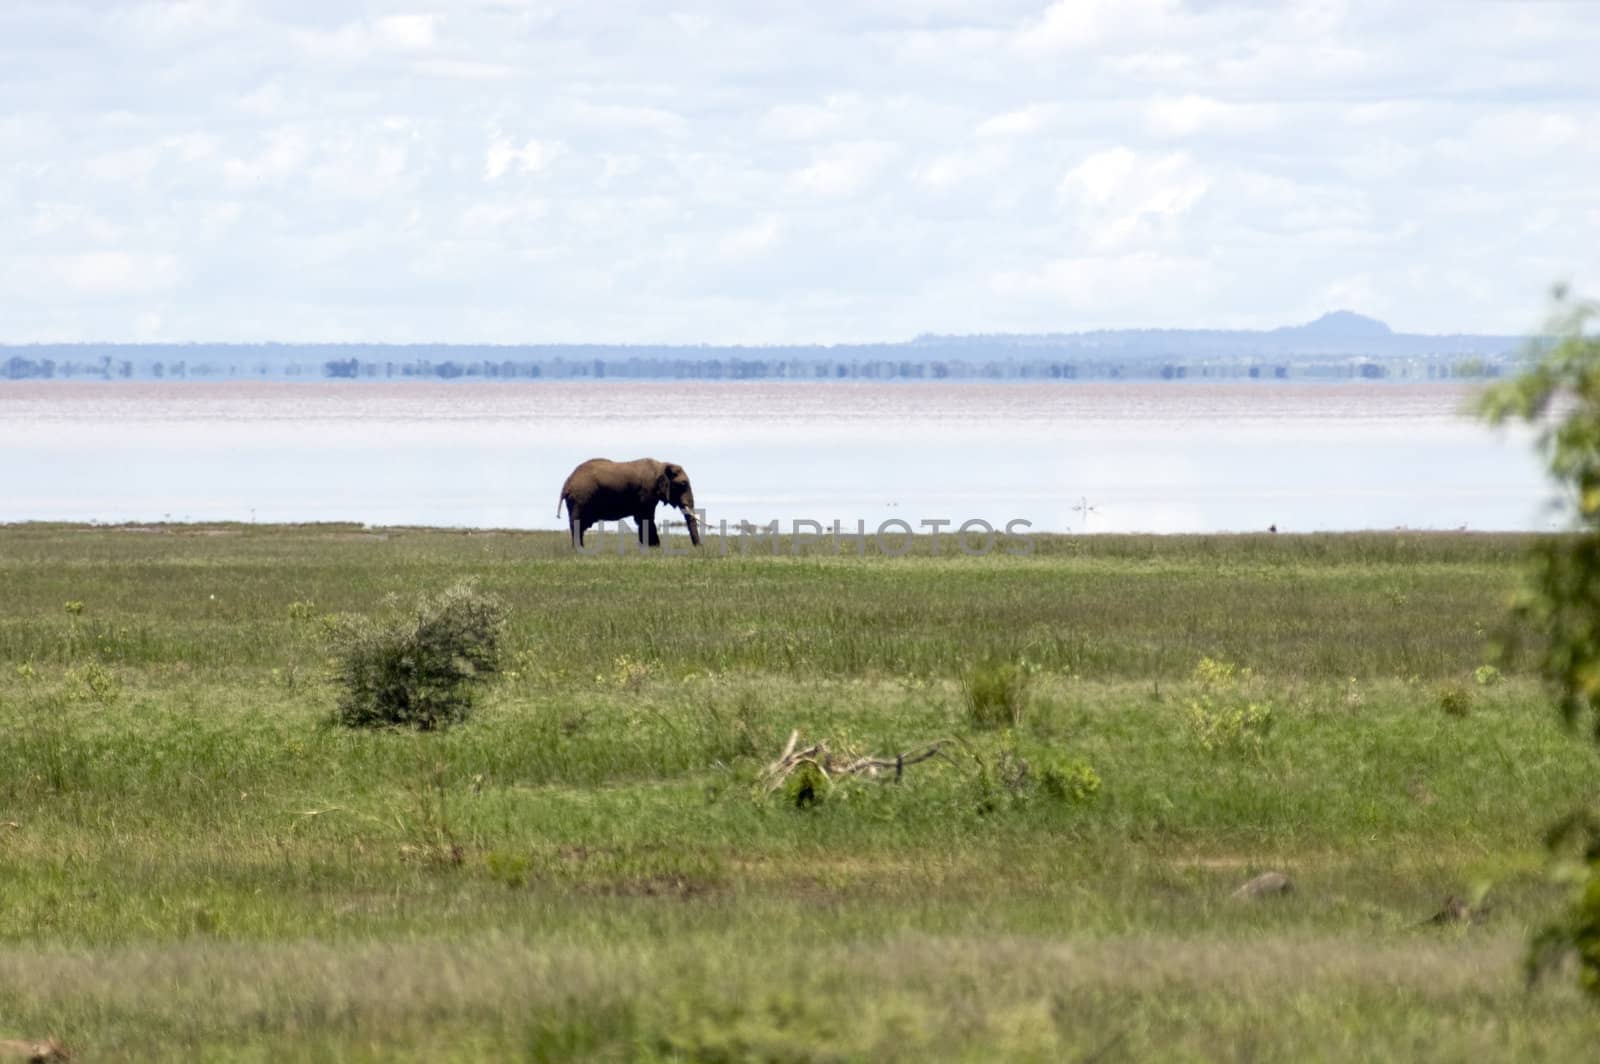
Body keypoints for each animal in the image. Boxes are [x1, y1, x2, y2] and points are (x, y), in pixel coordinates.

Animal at [556, 457, 700, 547]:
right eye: (683, 484)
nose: (698, 547)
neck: (662, 465)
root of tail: (566, 483)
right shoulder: (647, 491)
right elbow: (645, 518)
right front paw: (655, 548)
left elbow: (642, 519)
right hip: (580, 498)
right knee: (578, 524)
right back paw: (579, 549)